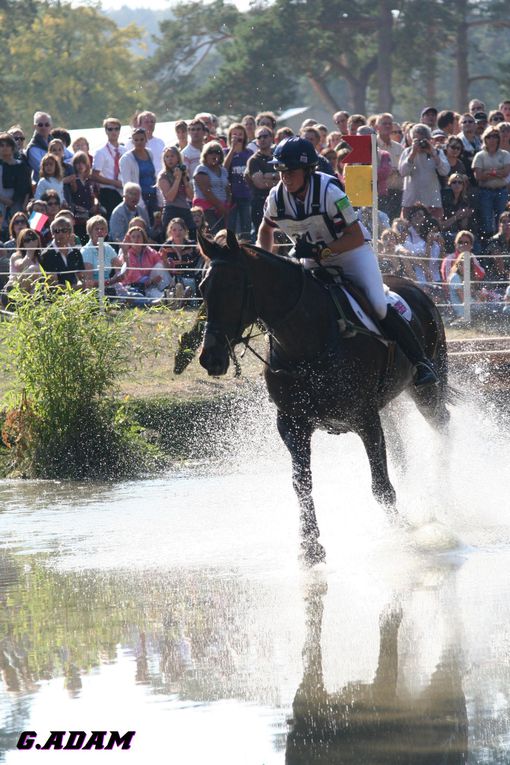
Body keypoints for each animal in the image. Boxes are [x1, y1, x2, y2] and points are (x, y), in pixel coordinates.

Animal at [197, 230, 452, 564]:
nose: (210, 358)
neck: (304, 341)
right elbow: (301, 483)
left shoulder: (364, 418)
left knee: (441, 424)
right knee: (399, 446)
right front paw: (310, 546)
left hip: (425, 388)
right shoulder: (292, 424)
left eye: (231, 287)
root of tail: (416, 288)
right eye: (202, 288)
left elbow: (380, 485)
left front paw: (401, 535)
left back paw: (443, 490)